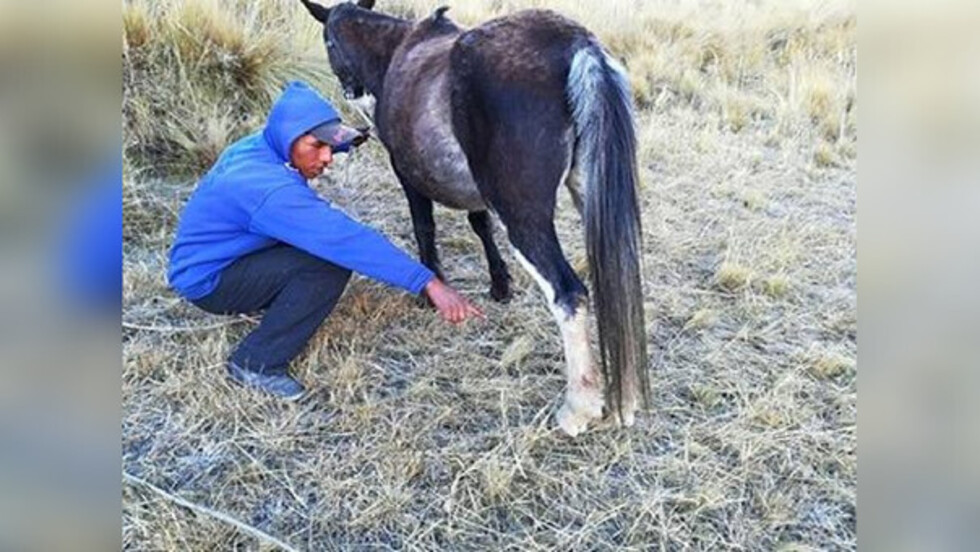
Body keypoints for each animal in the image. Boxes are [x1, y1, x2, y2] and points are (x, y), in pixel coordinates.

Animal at [300, 0, 648, 436]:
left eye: (328, 40)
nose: (351, 92)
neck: (398, 49)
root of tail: (575, 44)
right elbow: (480, 225)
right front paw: (499, 285)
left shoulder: (407, 174)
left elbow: (424, 227)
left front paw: (431, 289)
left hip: (523, 217)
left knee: (569, 293)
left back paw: (578, 407)